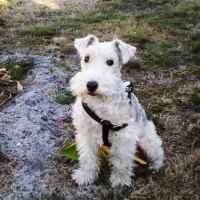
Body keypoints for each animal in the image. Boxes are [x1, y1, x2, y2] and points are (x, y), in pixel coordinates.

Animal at [70, 34, 164, 188]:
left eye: (110, 62)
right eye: (86, 58)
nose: (91, 85)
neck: (101, 105)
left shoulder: (124, 138)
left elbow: (122, 162)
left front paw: (120, 181)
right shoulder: (86, 134)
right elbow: (87, 158)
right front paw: (85, 176)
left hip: (148, 142)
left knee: (159, 153)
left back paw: (155, 166)